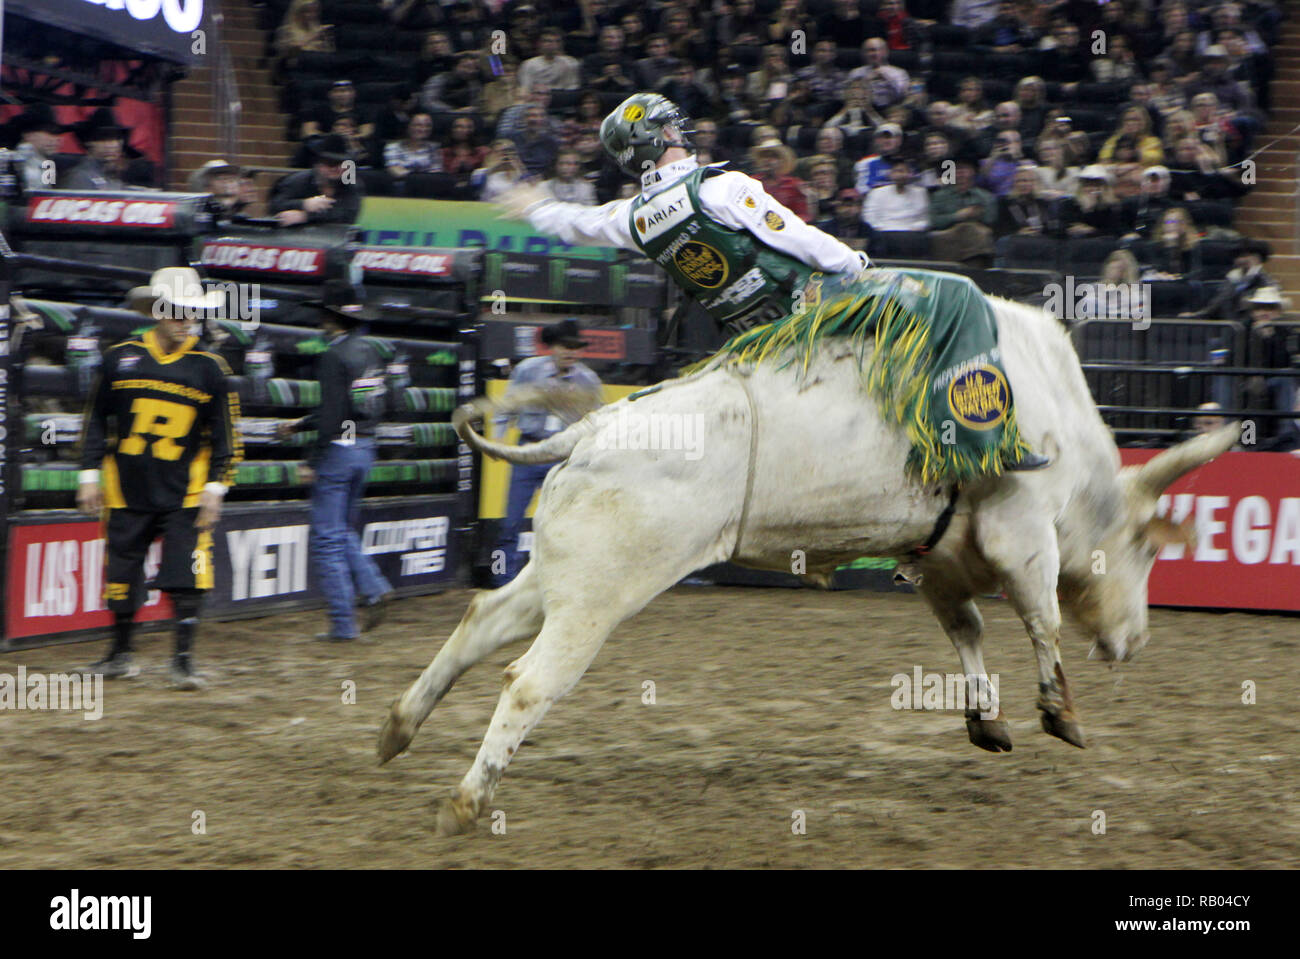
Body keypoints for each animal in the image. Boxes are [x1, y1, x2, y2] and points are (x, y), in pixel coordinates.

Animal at [379, 294, 1237, 831]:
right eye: (1147, 548)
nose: (1135, 640)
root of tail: (590, 428)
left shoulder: (936, 553)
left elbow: (964, 628)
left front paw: (986, 718)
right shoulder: (1021, 527)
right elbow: (1038, 613)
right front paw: (1059, 710)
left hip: (562, 572)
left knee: (482, 620)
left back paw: (396, 728)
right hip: (597, 595)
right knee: (529, 681)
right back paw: (465, 801)